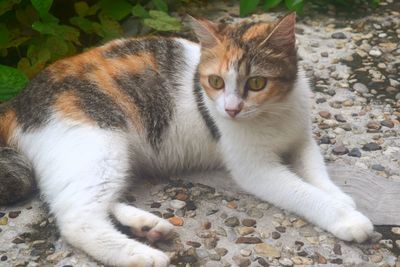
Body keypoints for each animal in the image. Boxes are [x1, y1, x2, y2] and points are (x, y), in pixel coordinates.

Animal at [0, 13, 376, 267]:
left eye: (256, 83)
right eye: (215, 82)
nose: (231, 109)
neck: (274, 112)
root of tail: (17, 101)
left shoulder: (301, 140)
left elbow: (316, 172)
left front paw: (340, 197)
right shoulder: (256, 169)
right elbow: (303, 192)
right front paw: (345, 218)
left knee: (92, 201)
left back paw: (146, 225)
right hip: (97, 144)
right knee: (76, 219)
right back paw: (141, 255)